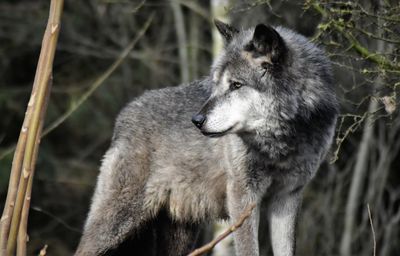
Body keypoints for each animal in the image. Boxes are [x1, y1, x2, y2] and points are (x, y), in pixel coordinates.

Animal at [74, 20, 338, 256]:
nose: (197, 120)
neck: (281, 143)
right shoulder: (242, 196)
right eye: (216, 84)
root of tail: (123, 116)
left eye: (236, 85)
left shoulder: (288, 197)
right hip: (118, 222)